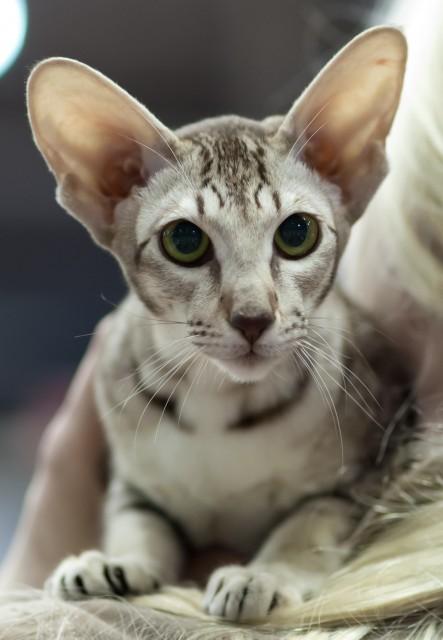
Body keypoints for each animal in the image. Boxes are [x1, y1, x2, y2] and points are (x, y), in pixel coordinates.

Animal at [26, 27, 410, 624]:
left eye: (297, 233)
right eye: (184, 241)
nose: (253, 317)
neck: (222, 409)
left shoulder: (372, 466)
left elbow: (309, 522)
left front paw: (264, 574)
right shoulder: (130, 480)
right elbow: (138, 521)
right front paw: (114, 563)